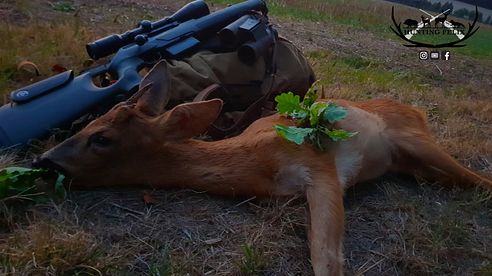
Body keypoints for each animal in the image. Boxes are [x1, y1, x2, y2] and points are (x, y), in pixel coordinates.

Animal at [33, 61, 492, 274]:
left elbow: (326, 256)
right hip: (411, 163)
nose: (43, 160)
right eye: (91, 123)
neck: (256, 162)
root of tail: (416, 110)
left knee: (481, 181)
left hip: (419, 143)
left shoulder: (320, 169)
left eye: (101, 138)